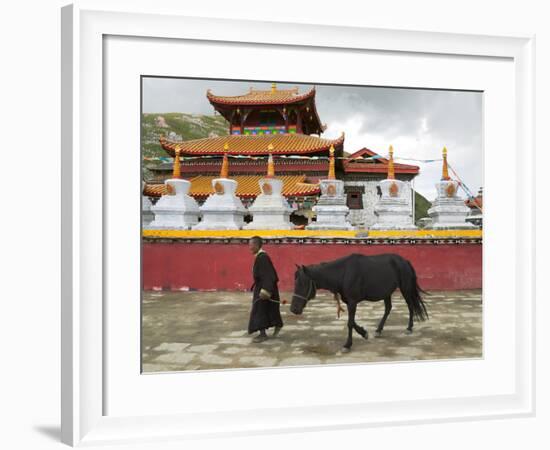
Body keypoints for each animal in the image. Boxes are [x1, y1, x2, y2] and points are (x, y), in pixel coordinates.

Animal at [292, 253, 430, 352]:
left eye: (302, 284)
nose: (293, 309)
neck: (344, 273)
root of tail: (405, 261)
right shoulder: (349, 302)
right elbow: (352, 322)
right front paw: (364, 333)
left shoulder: (353, 302)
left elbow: (350, 323)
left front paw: (348, 345)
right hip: (387, 292)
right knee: (388, 308)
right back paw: (379, 330)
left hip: (405, 288)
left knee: (410, 306)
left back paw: (409, 328)